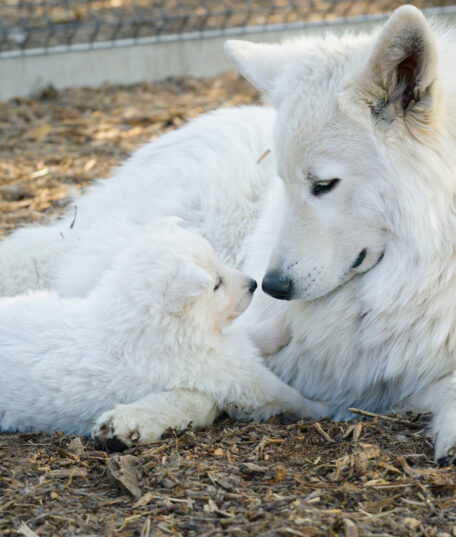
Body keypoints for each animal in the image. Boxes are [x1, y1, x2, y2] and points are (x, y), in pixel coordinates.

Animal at [0, 220, 328, 446]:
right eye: (216, 284)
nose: (253, 284)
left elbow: (248, 336)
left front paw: (281, 325)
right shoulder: (228, 373)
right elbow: (280, 393)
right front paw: (321, 408)